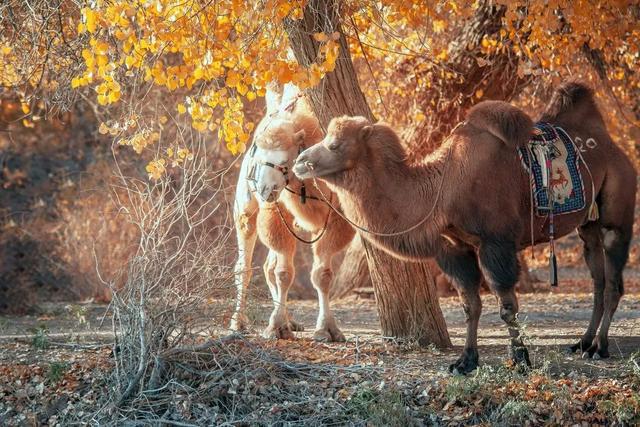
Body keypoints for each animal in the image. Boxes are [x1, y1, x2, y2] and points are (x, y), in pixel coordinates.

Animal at [294, 83, 636, 374]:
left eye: (334, 144)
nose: (300, 161)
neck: (444, 188)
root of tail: (614, 147)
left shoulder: (495, 243)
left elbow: (507, 305)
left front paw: (520, 359)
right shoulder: (454, 246)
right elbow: (470, 304)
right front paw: (466, 361)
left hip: (617, 214)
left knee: (614, 281)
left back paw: (600, 347)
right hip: (587, 225)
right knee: (597, 280)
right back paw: (583, 343)